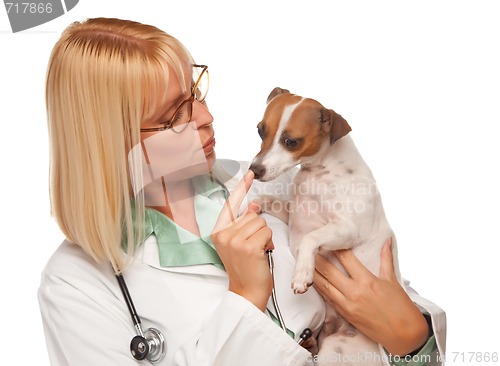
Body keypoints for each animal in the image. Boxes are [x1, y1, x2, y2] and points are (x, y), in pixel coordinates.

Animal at [249, 87, 402, 364]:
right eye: (260, 131)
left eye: (291, 141)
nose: (254, 170)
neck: (319, 172)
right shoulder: (296, 213)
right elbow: (273, 201)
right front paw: (253, 203)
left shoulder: (347, 229)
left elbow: (311, 239)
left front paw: (302, 274)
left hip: (335, 348)